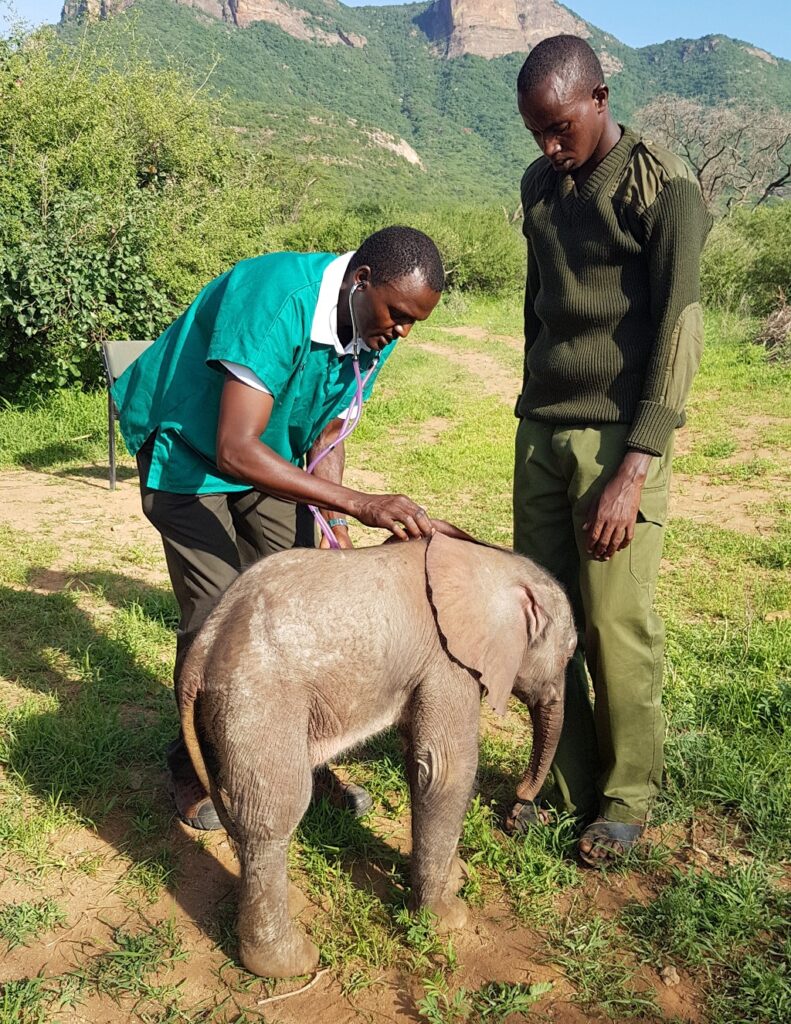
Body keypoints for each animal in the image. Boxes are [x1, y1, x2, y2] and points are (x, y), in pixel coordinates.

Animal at [179, 532, 573, 978]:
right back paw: (290, 964)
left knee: (237, 808)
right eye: (570, 653)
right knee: (272, 815)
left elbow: (419, 762)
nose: (519, 808)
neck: (486, 562)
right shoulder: (448, 663)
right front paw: (448, 919)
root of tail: (200, 652)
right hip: (259, 701)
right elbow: (446, 771)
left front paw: (456, 879)